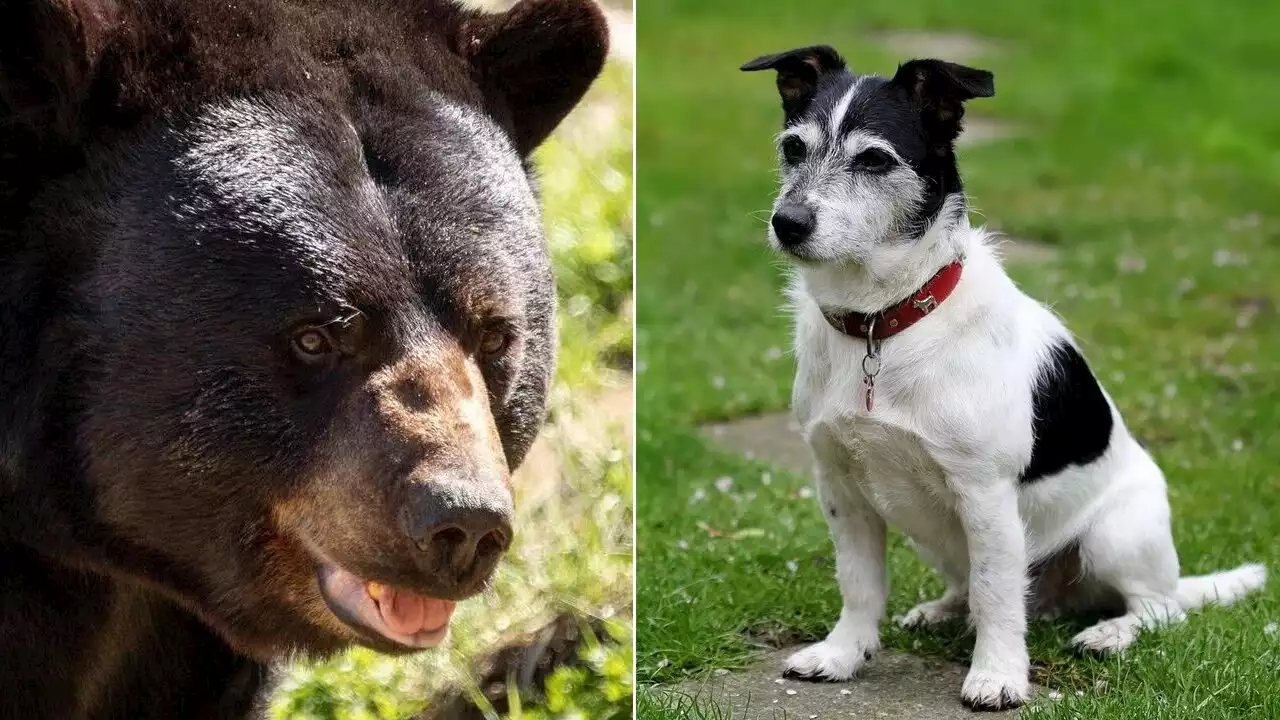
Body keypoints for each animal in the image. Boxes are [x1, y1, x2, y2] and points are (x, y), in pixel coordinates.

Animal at [747, 47, 1264, 707]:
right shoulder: (840, 487)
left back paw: (1109, 634)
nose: (787, 223)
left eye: (874, 159)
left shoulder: (985, 494)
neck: (881, 323)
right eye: (793, 147)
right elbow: (860, 583)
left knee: (1156, 607)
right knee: (980, 588)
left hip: (1115, 535)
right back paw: (943, 610)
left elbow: (997, 593)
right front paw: (844, 654)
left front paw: (996, 676)